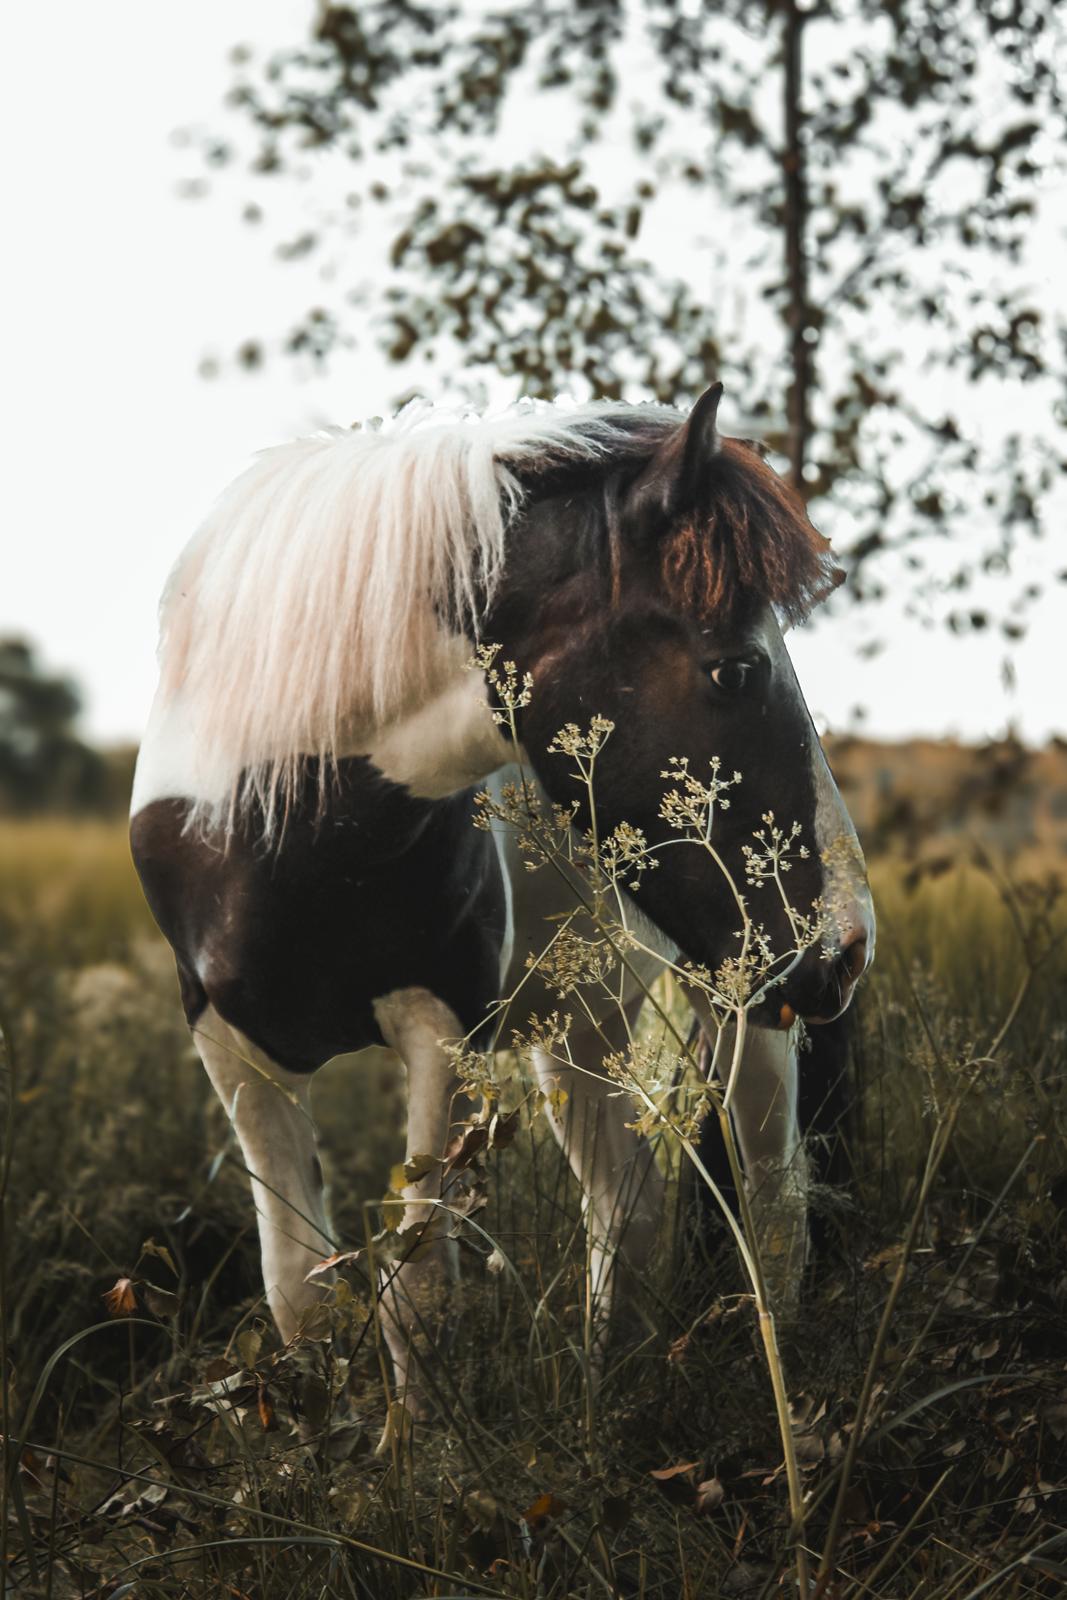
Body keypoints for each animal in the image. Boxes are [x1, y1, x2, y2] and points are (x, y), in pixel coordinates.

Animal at [129, 384, 876, 1401]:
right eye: (735, 668)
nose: (846, 945)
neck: (277, 811)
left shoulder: (446, 1028)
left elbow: (418, 1299)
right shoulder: (230, 1042)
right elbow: (299, 1295)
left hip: (738, 1003)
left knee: (770, 1201)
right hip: (581, 1025)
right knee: (627, 1206)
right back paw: (610, 1390)